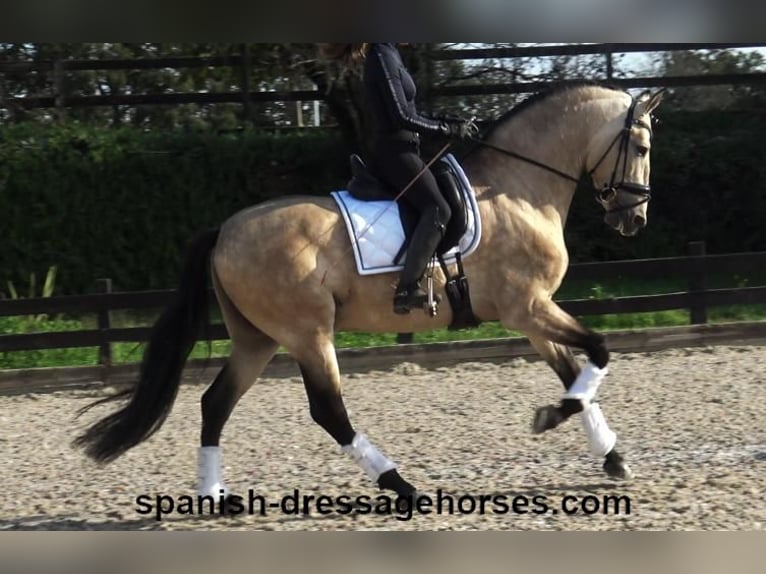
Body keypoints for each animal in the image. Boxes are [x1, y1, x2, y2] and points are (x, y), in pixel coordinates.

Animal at [76, 83, 664, 506]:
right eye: (640, 146)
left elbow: (575, 371)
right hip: (308, 333)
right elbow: (598, 353)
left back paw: (215, 496)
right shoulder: (529, 307)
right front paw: (551, 419)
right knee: (328, 411)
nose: (633, 220)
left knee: (215, 403)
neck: (518, 190)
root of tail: (224, 231)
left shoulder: (531, 314)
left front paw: (611, 456)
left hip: (257, 339)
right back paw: (401, 485)